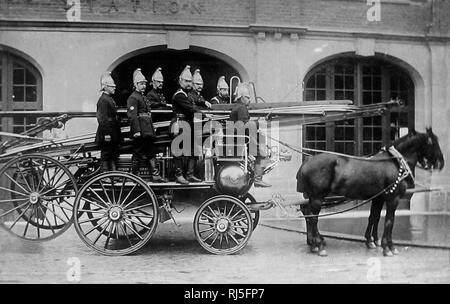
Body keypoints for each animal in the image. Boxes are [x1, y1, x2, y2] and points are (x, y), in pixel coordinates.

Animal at [298, 127, 444, 256]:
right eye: (433, 142)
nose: (441, 163)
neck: (395, 162)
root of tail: (307, 161)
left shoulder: (378, 198)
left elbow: (374, 217)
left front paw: (371, 241)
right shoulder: (393, 198)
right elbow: (389, 221)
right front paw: (388, 247)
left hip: (313, 197)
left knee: (307, 212)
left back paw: (313, 243)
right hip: (317, 197)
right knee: (313, 218)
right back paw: (318, 244)